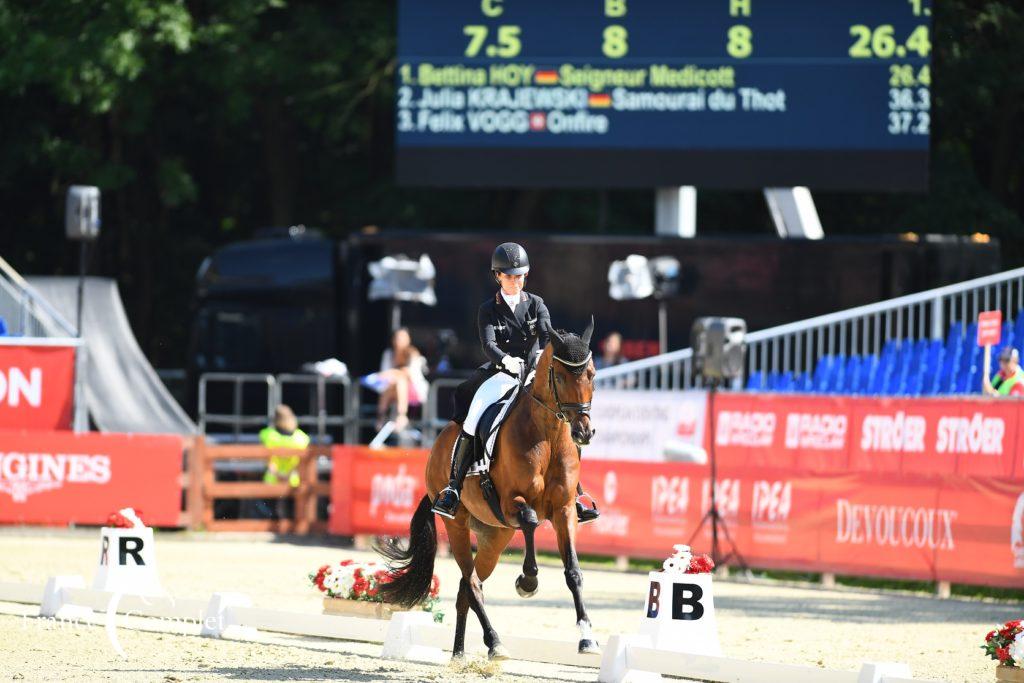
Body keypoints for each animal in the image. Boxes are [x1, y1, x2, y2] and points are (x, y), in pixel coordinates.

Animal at [376, 321, 598, 663]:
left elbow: (573, 571)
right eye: (560, 377)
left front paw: (587, 638)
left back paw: (458, 653)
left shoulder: (564, 511)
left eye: (592, 375)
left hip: (495, 536)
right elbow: (530, 520)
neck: (547, 435)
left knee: (466, 588)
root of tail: (439, 443)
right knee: (472, 583)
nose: (583, 433)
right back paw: (494, 644)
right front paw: (527, 581)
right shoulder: (510, 503)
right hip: (457, 524)